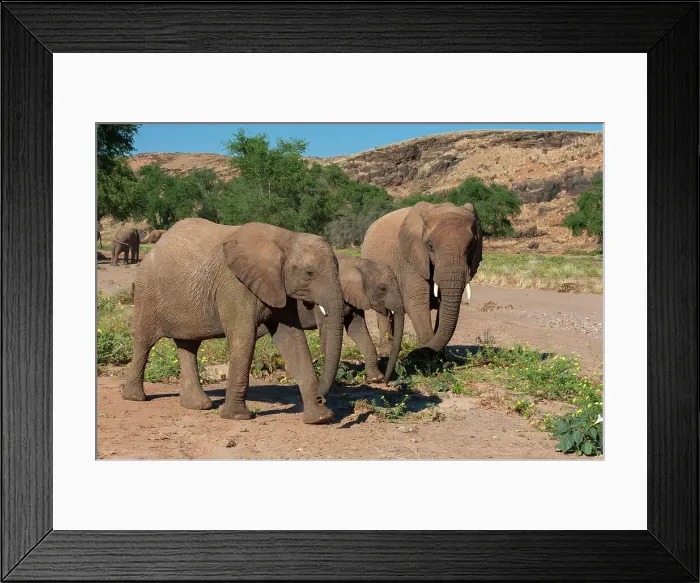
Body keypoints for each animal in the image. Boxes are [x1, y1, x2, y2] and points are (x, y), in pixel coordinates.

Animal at [122, 218, 345, 424]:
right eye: (309, 273)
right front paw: (238, 417)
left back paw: (197, 405)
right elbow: (243, 338)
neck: (286, 237)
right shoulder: (236, 286)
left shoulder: (278, 286)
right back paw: (134, 398)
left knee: (188, 346)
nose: (321, 398)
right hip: (147, 291)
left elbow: (293, 339)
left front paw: (320, 418)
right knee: (144, 342)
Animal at [257, 253, 405, 384]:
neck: (356, 263)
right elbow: (328, 330)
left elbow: (357, 330)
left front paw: (375, 378)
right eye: (383, 289)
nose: (386, 381)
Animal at [361, 201, 483, 352]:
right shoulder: (410, 259)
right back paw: (387, 351)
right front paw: (427, 355)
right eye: (430, 245)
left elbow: (444, 306)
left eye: (472, 245)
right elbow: (416, 303)